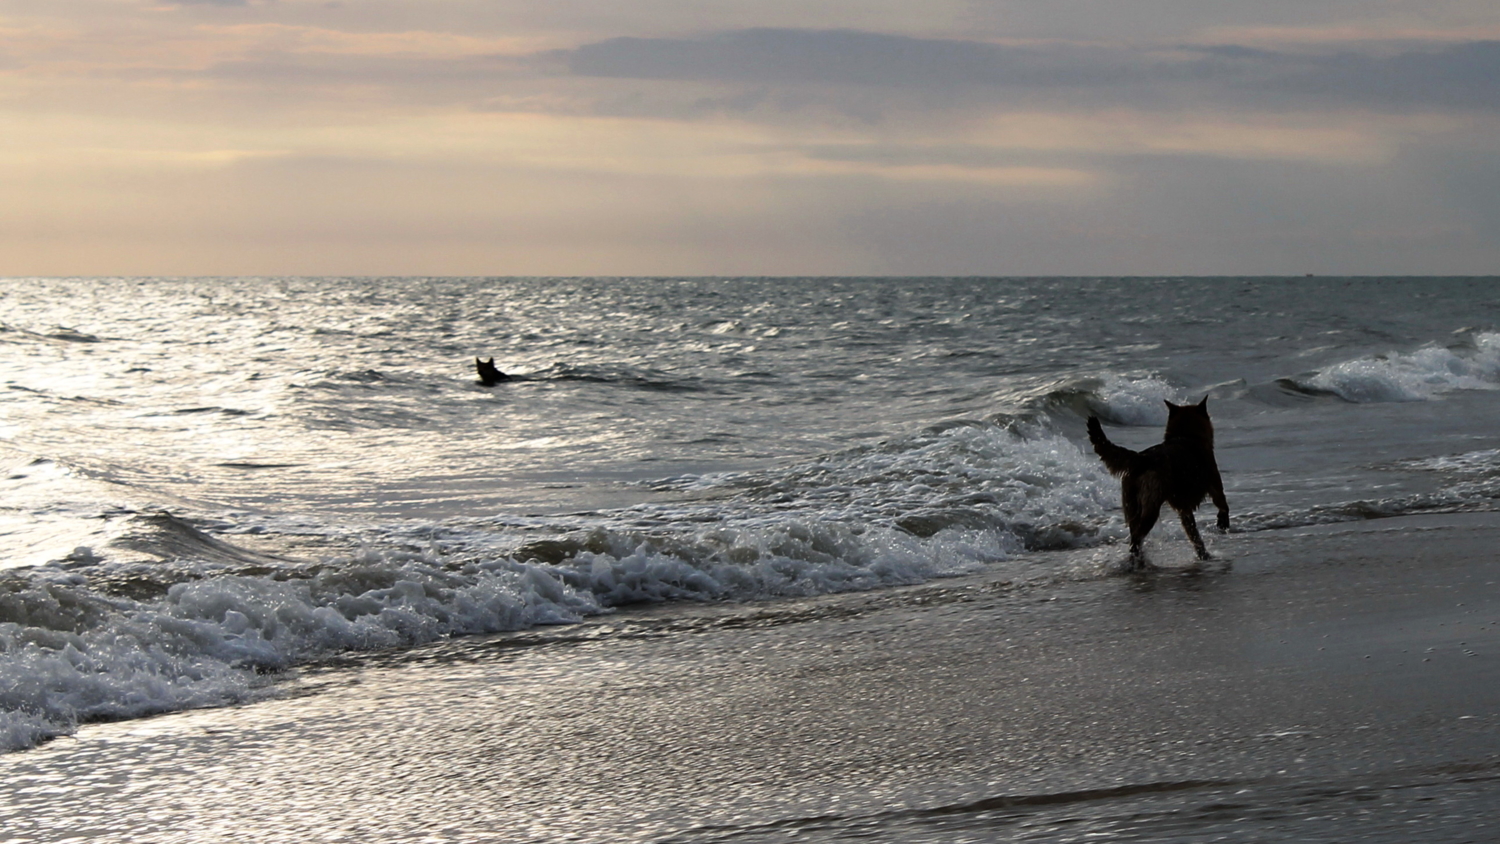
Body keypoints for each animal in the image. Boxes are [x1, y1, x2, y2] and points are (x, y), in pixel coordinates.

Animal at [1092, 398, 1230, 572]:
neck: (1186, 435)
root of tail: (1142, 457)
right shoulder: (1214, 484)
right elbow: (1222, 504)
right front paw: (1222, 522)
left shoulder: (1184, 510)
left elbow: (1194, 535)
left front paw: (1203, 555)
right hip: (1151, 507)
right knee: (1137, 538)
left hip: (1131, 505)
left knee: (1134, 535)